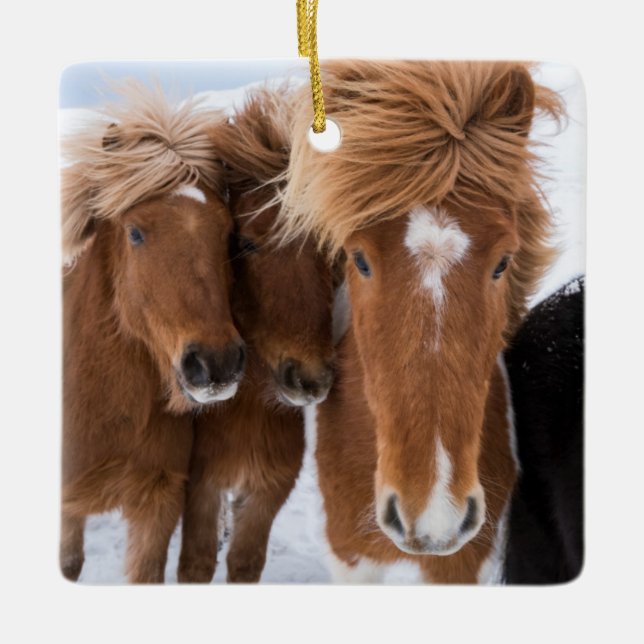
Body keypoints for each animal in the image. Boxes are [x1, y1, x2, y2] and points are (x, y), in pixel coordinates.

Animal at [177, 87, 336, 583]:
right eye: (244, 242)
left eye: (329, 250)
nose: (309, 380)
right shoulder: (200, 488)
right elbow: (195, 563)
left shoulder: (269, 490)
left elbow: (246, 562)